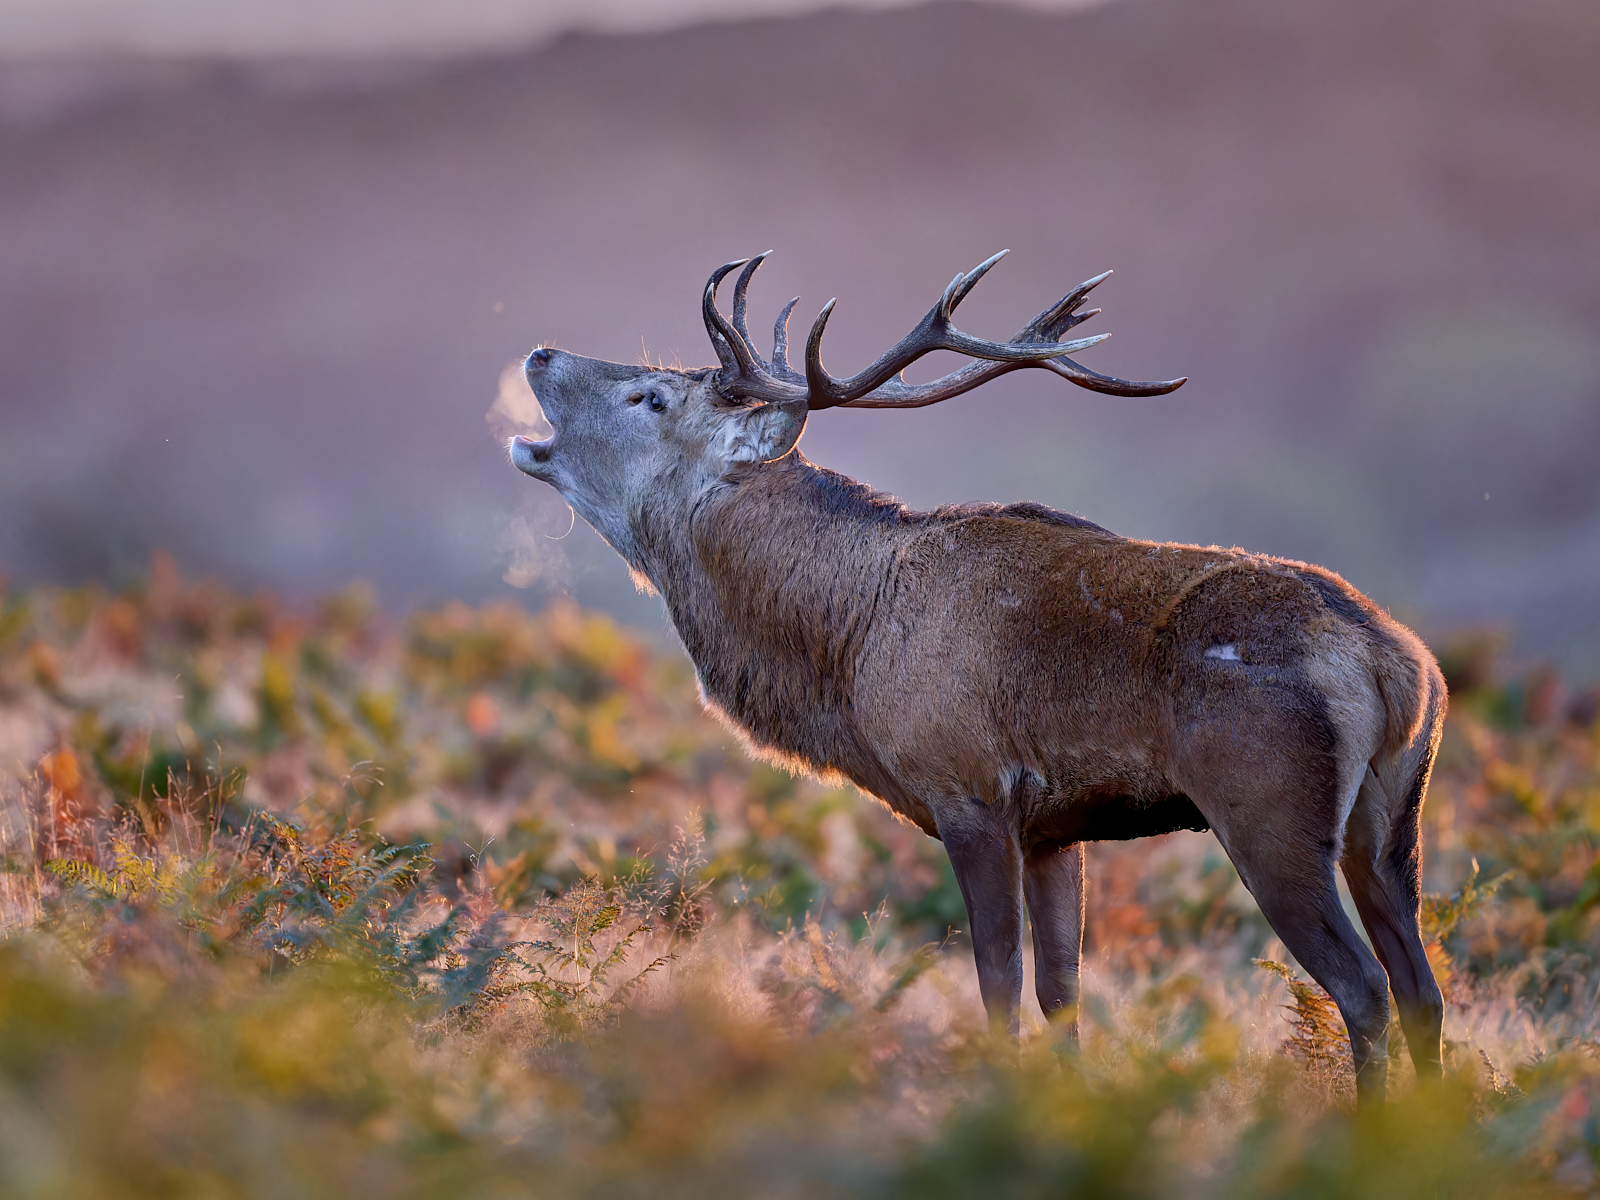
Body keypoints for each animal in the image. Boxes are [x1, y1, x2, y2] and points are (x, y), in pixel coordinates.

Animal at [507, 251, 1446, 1106]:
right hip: (1390, 819)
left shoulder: (968, 789)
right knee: (1422, 987)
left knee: (1365, 989)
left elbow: (998, 985)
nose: (541, 352)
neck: (849, 654)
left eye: (651, 397)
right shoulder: (1057, 828)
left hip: (1268, 809)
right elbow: (1062, 994)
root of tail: (1393, 661)